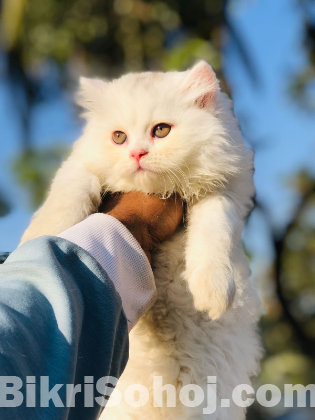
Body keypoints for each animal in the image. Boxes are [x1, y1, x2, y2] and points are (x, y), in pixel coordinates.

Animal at [20, 60, 264, 418]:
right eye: (118, 138)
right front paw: (38, 237)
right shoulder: (80, 169)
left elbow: (213, 232)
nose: (136, 154)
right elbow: (71, 194)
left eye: (161, 131)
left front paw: (212, 292)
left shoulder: (224, 195)